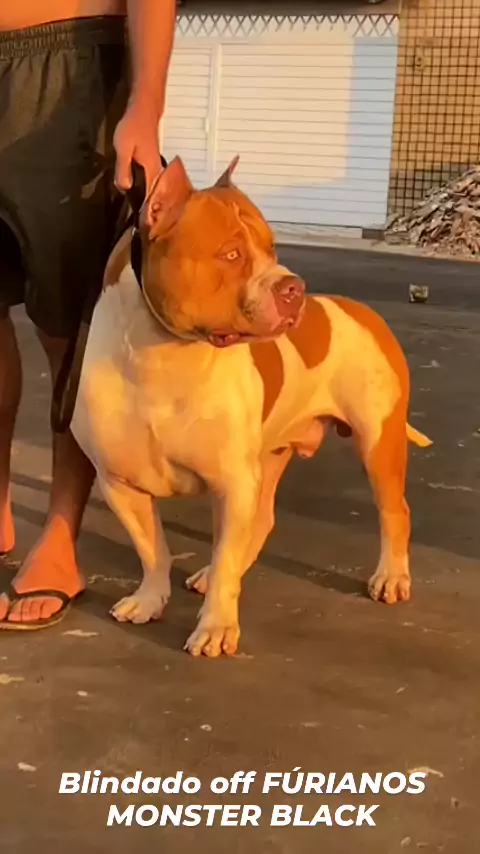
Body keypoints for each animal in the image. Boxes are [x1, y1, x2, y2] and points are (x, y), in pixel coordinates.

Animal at [71, 156, 432, 657]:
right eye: (230, 255)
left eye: (272, 246)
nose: (293, 287)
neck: (161, 359)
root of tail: (362, 311)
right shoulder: (120, 484)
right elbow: (153, 550)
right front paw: (149, 599)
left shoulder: (232, 482)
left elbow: (223, 555)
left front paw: (216, 627)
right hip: (271, 453)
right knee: (259, 522)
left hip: (379, 442)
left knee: (395, 511)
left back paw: (392, 577)